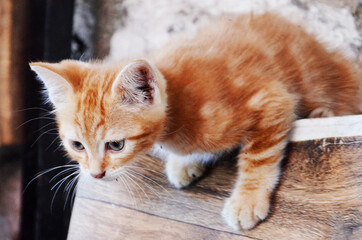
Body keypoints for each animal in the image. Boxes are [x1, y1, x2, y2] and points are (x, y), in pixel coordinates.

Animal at [29, 13, 360, 231]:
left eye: (116, 145)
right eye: (77, 145)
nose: (96, 174)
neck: (178, 110)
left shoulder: (271, 98)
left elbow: (259, 156)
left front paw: (248, 200)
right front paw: (184, 163)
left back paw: (321, 113)